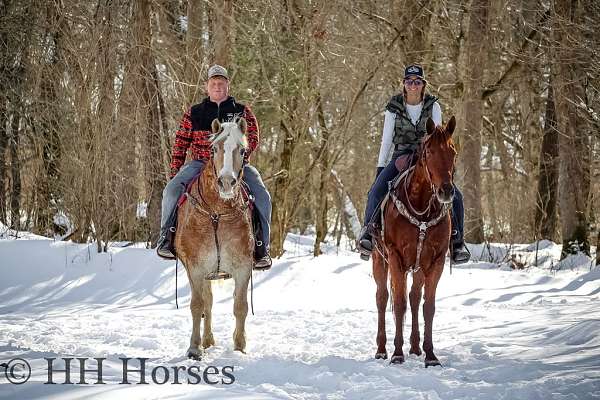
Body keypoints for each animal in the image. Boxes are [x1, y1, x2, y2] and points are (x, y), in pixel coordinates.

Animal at [176, 116, 255, 360]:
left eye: (242, 150)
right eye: (214, 148)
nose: (227, 182)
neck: (217, 213)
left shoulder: (243, 266)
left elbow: (240, 306)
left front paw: (240, 347)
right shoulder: (195, 267)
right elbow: (197, 306)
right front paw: (194, 348)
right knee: (206, 303)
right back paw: (206, 341)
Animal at [372, 115, 458, 366]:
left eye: (453, 151)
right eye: (429, 151)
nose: (446, 191)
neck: (421, 208)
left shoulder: (436, 260)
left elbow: (428, 306)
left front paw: (430, 355)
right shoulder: (396, 258)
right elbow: (399, 304)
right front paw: (396, 354)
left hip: (419, 266)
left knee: (414, 298)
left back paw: (415, 347)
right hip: (379, 259)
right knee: (382, 298)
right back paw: (381, 349)